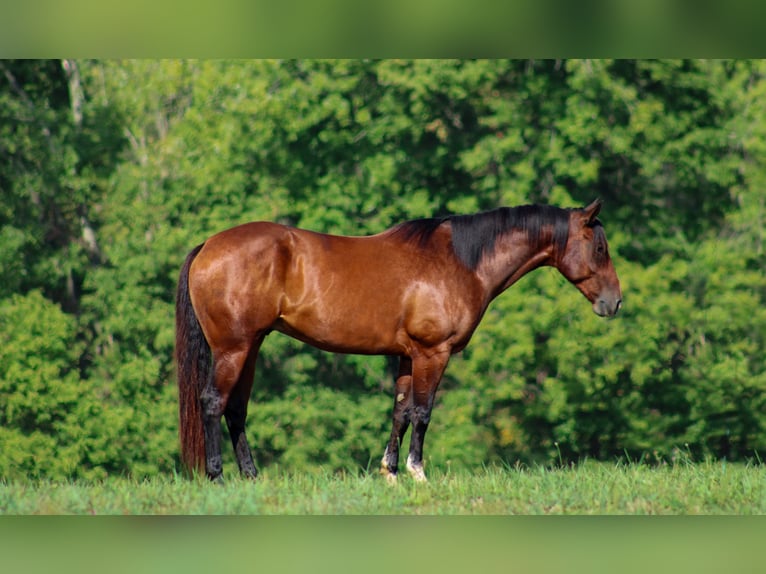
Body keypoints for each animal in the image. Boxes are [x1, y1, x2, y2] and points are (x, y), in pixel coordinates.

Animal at [176, 200, 624, 484]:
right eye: (600, 248)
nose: (614, 302)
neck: (459, 261)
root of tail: (208, 246)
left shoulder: (407, 357)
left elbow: (400, 412)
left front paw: (390, 472)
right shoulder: (432, 353)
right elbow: (422, 413)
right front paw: (418, 472)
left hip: (250, 347)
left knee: (236, 409)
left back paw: (251, 477)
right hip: (233, 349)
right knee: (213, 402)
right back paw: (217, 477)